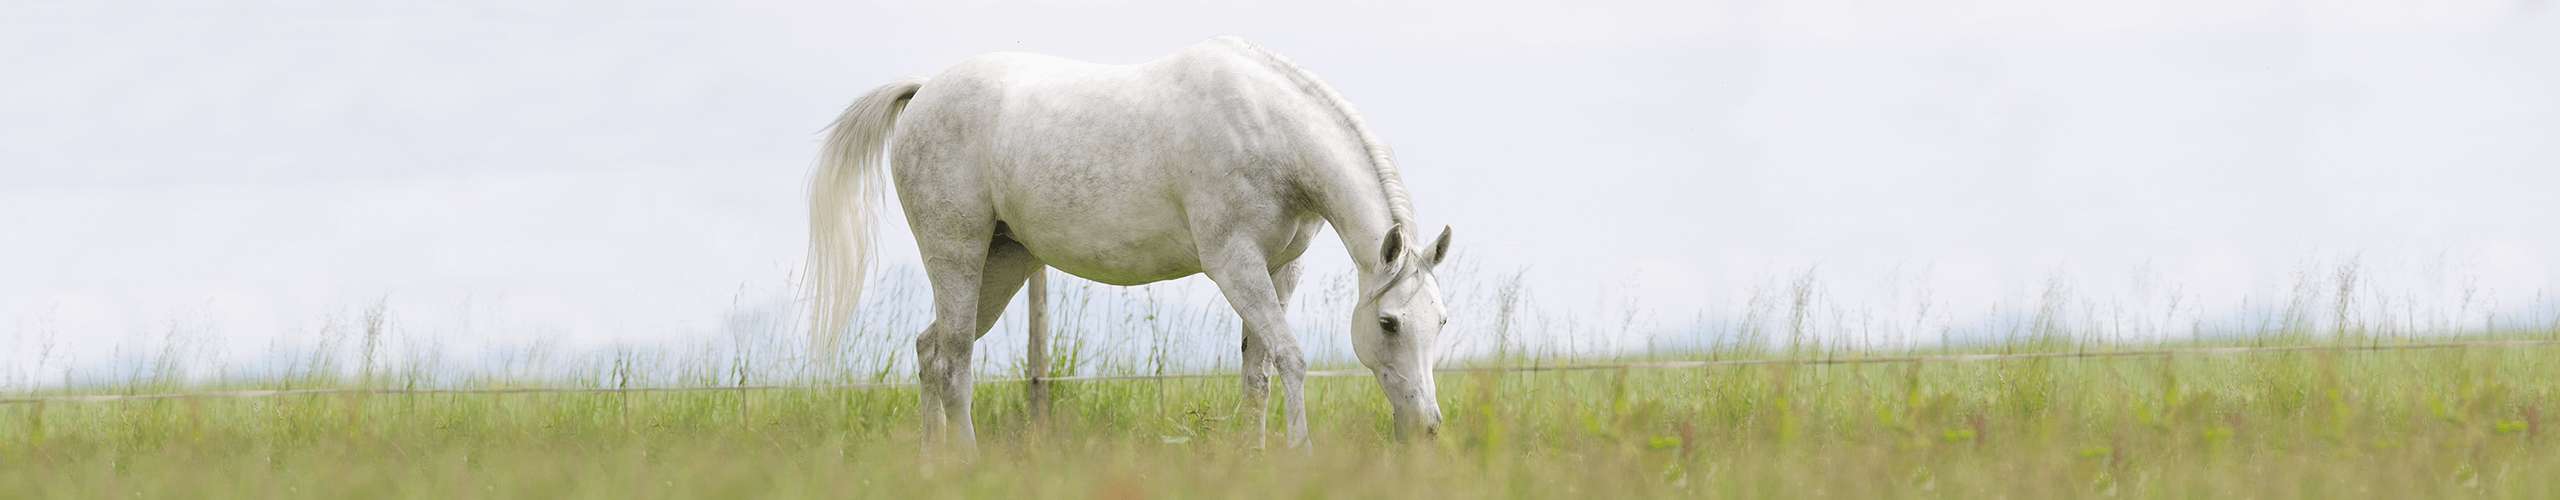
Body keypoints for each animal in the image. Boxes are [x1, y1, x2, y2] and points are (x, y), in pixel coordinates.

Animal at [808, 35, 1454, 448]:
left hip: (1004, 263)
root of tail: (922, 94)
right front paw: (1298, 456)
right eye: (1390, 322)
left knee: (928, 350)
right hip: (957, 254)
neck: (1268, 130)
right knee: (954, 361)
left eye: (1441, 321)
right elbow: (1292, 359)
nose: (1427, 427)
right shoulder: (1234, 264)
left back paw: (933, 463)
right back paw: (965, 462)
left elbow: (1259, 372)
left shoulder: (1279, 269)